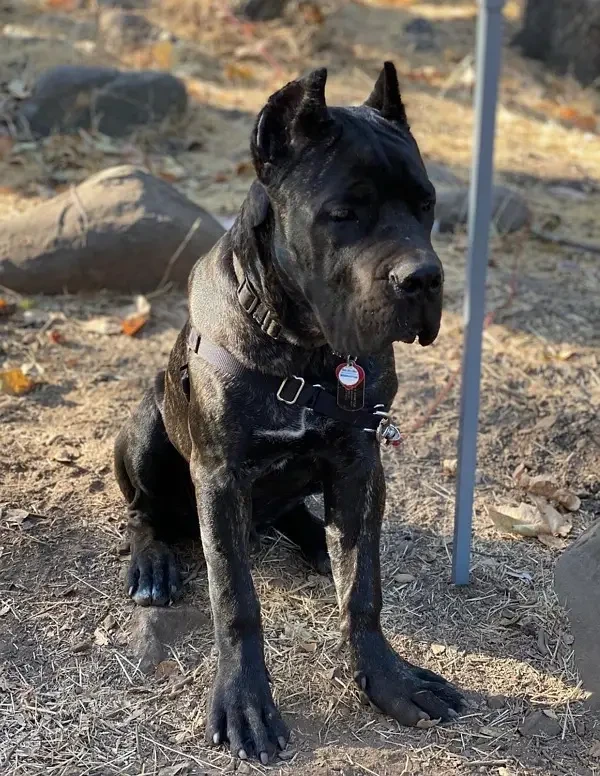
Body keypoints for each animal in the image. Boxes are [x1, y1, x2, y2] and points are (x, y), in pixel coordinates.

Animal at [115, 62, 462, 764]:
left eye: (426, 204)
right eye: (343, 213)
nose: (423, 278)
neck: (308, 348)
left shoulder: (360, 464)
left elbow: (362, 587)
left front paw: (386, 678)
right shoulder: (220, 477)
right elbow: (235, 598)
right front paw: (245, 701)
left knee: (298, 519)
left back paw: (312, 540)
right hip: (146, 426)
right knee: (143, 512)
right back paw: (154, 563)